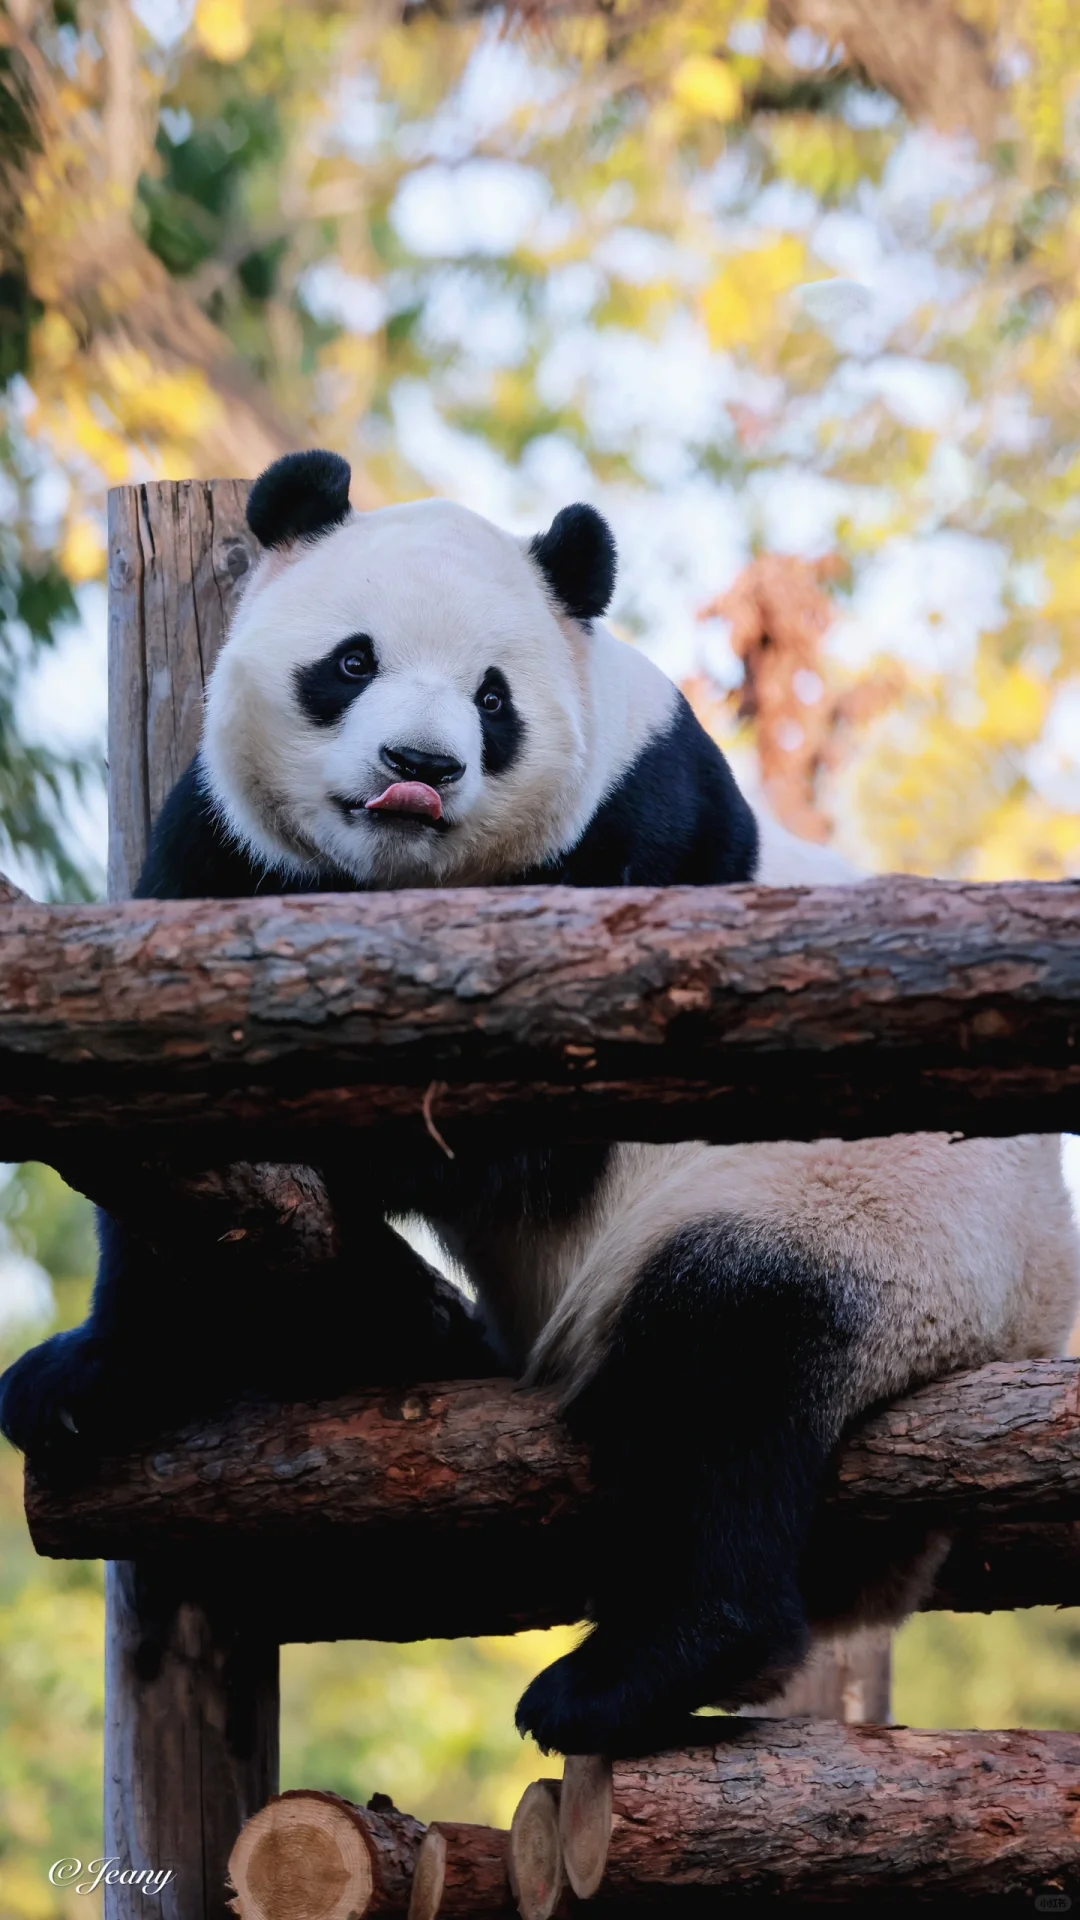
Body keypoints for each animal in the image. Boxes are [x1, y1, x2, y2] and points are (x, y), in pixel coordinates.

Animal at [4, 449, 1068, 1758]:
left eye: (493, 698)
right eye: (350, 662)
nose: (420, 767)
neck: (397, 899)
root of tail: (1026, 1321)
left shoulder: (636, 859)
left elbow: (514, 1128)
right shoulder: (226, 855)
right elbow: (168, 1171)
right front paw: (89, 1379)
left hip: (870, 1215)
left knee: (725, 1369)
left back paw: (639, 1668)